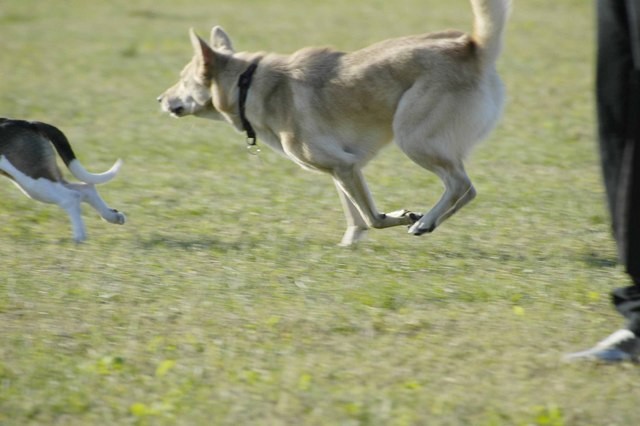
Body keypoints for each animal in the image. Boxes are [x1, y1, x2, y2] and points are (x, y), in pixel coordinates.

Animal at [158, 0, 508, 245]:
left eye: (183, 79)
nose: (159, 99)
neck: (248, 85)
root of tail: (471, 48)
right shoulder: (344, 169)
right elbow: (357, 218)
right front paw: (349, 246)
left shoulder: (344, 166)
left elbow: (372, 217)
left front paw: (403, 216)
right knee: (467, 189)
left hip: (413, 139)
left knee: (461, 185)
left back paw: (426, 222)